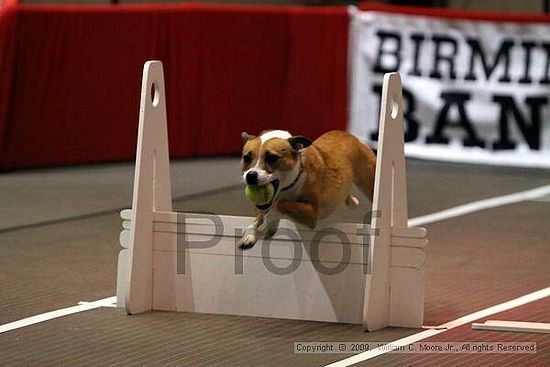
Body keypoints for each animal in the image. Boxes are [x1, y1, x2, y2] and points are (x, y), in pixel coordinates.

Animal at [239, 130, 378, 250]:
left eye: (272, 158)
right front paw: (249, 235)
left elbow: (281, 204)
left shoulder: (311, 213)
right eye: (246, 158)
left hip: (369, 181)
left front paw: (271, 222)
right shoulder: (263, 205)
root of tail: (347, 134)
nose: (251, 176)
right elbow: (259, 217)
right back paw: (351, 201)